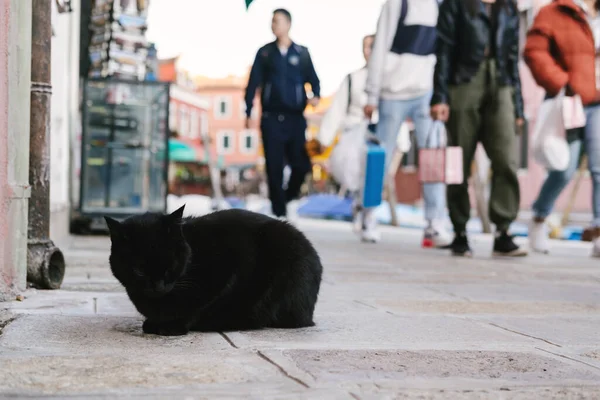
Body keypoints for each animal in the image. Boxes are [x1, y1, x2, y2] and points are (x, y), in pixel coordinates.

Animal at [106, 205, 326, 336]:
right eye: (139, 270)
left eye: (170, 264)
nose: (158, 286)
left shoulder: (231, 265)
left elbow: (199, 306)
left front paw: (172, 326)